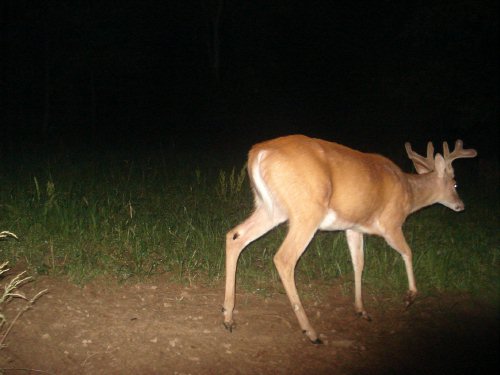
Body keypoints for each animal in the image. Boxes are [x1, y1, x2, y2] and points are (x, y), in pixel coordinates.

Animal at [223, 135, 476, 344]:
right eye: (455, 183)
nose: (461, 206)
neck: (409, 192)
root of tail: (259, 152)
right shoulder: (391, 223)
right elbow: (407, 252)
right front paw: (410, 297)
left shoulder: (354, 228)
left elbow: (358, 263)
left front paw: (361, 309)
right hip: (307, 211)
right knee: (284, 258)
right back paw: (311, 332)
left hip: (272, 208)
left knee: (235, 236)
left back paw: (228, 317)